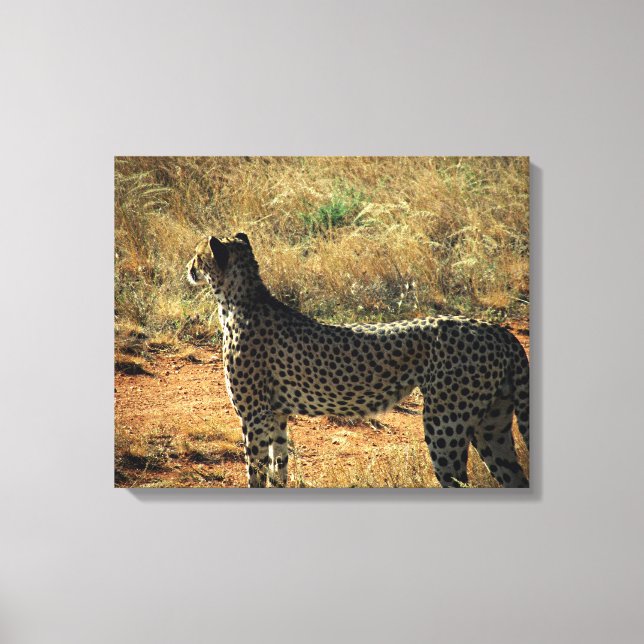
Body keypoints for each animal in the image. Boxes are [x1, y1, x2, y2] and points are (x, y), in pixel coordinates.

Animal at [187, 233, 530, 488]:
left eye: (197, 254)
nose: (188, 266)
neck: (238, 301)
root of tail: (496, 329)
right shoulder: (278, 415)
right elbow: (278, 469)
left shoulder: (254, 415)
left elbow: (256, 472)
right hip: (491, 425)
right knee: (513, 476)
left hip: (446, 424)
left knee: (458, 478)